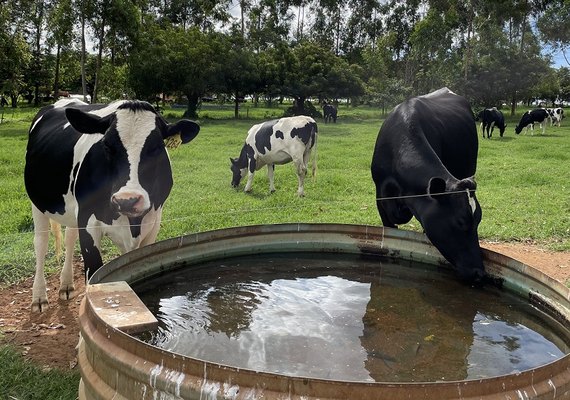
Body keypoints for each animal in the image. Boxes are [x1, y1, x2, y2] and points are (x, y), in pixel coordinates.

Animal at [25, 98, 200, 310]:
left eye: (157, 147)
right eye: (107, 146)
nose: (127, 200)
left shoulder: (153, 222)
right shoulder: (88, 220)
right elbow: (93, 273)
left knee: (69, 237)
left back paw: (66, 285)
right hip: (38, 203)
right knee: (41, 243)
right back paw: (39, 297)